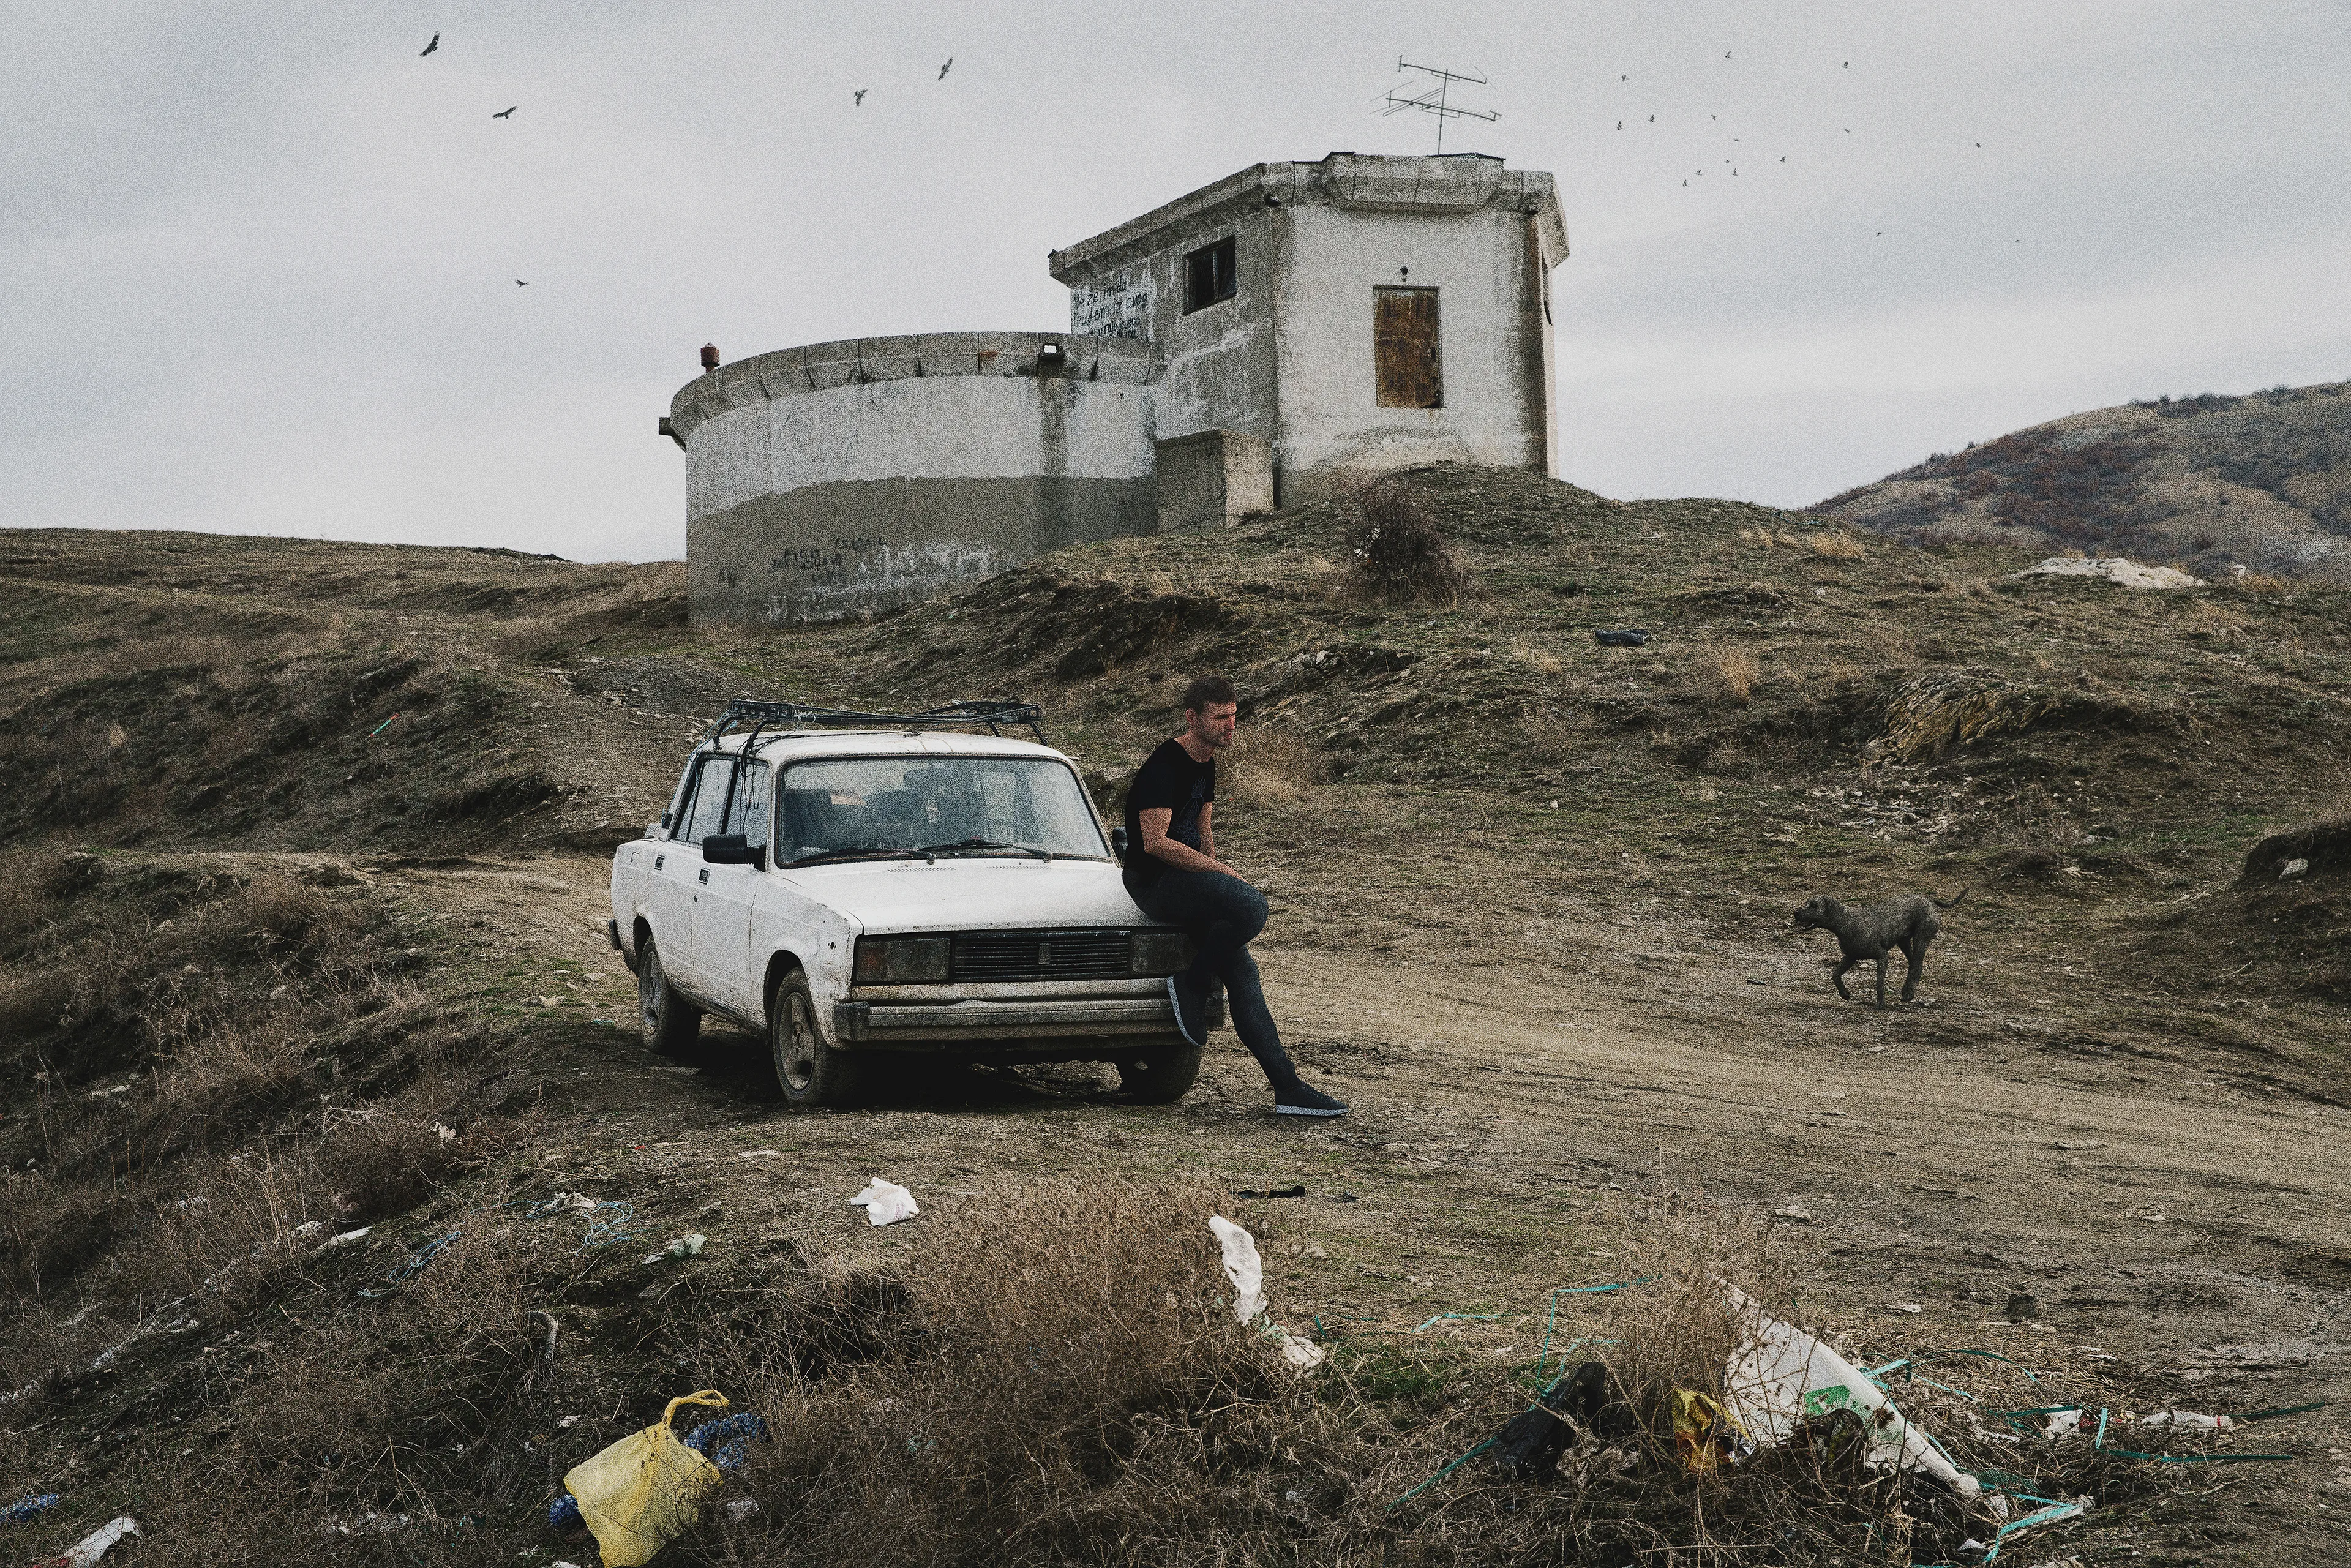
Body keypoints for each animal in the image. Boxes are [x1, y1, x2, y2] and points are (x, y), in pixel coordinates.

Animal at [1796, 888, 1965, 1011]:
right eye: (1807, 903)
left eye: (1814, 906)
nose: (1796, 911)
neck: (1846, 922)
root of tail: (1929, 900)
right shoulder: (1851, 956)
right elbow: (1835, 975)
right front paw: (1845, 994)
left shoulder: (1882, 956)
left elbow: (1879, 983)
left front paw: (1880, 1004)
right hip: (1904, 942)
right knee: (1914, 966)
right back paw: (1907, 991)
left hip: (1921, 939)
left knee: (1916, 964)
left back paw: (1909, 993)